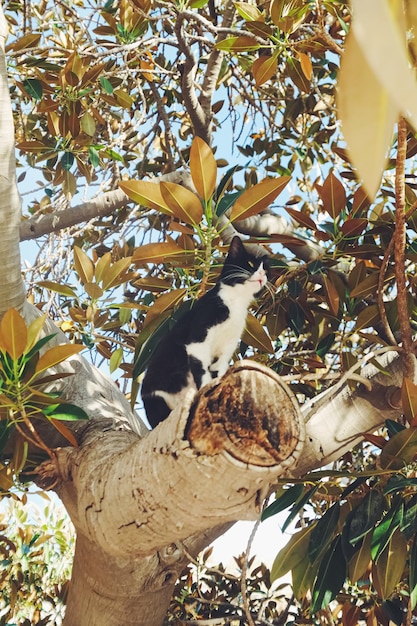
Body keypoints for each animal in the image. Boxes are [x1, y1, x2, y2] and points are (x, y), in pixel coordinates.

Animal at [141, 235, 270, 428]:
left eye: (267, 270)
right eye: (250, 263)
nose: (262, 275)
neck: (235, 302)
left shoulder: (229, 344)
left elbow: (220, 367)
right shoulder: (198, 336)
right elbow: (202, 371)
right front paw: (205, 390)